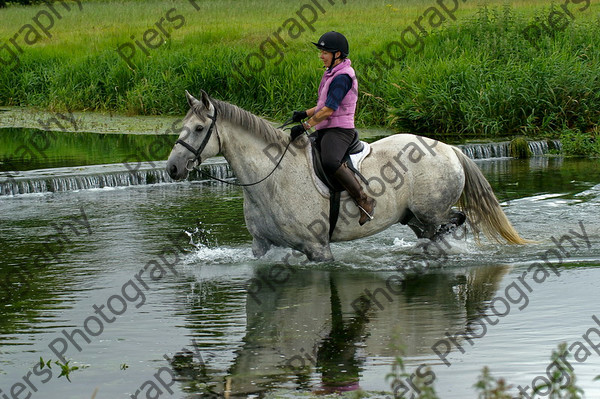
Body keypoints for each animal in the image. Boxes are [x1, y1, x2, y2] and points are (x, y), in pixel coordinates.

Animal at [165, 90, 524, 262]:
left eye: (199, 128)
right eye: (183, 126)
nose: (172, 169)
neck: (271, 178)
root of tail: (450, 148)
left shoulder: (318, 249)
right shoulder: (261, 247)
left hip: (430, 212)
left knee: (454, 221)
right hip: (414, 218)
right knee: (436, 231)